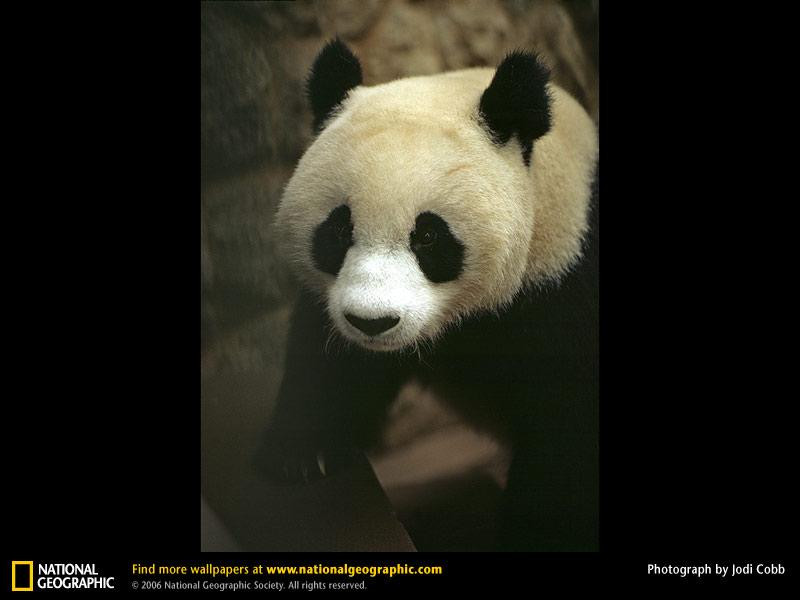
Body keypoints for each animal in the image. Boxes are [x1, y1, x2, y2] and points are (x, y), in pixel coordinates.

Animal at [260, 38, 596, 552]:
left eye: (429, 237)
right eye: (339, 229)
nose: (372, 322)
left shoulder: (566, 286)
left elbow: (567, 439)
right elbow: (334, 361)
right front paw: (302, 451)